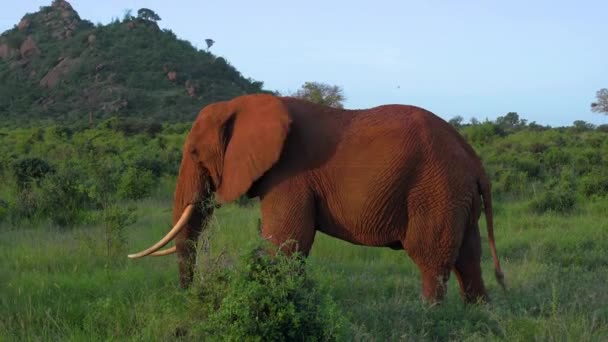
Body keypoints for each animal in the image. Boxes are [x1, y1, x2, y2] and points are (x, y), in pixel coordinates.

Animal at [131, 94, 506, 304]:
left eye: (194, 153)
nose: (186, 298)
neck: (241, 105)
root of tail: (476, 162)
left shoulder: (290, 174)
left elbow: (286, 243)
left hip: (435, 191)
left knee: (432, 260)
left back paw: (429, 319)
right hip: (457, 196)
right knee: (468, 259)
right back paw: (479, 318)